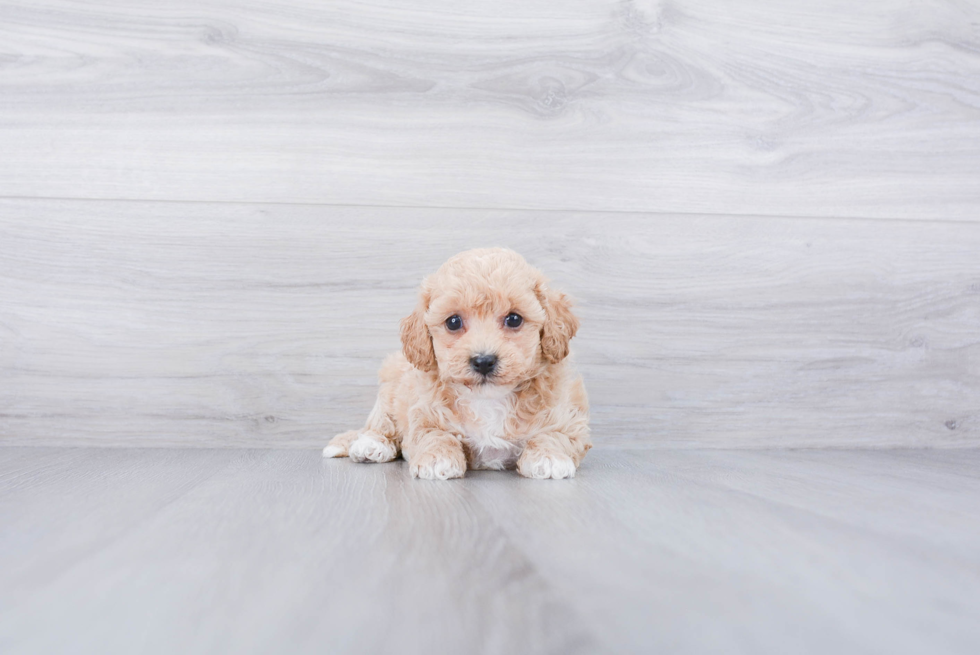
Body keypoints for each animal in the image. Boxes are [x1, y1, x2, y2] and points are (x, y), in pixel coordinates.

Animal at [326, 249, 592, 480]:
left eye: (514, 319)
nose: (483, 361)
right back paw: (371, 444)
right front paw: (437, 459)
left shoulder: (569, 417)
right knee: (380, 423)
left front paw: (549, 457)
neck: (488, 400)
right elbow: (435, 434)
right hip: (390, 382)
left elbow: (555, 434)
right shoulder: (423, 412)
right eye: (453, 322)